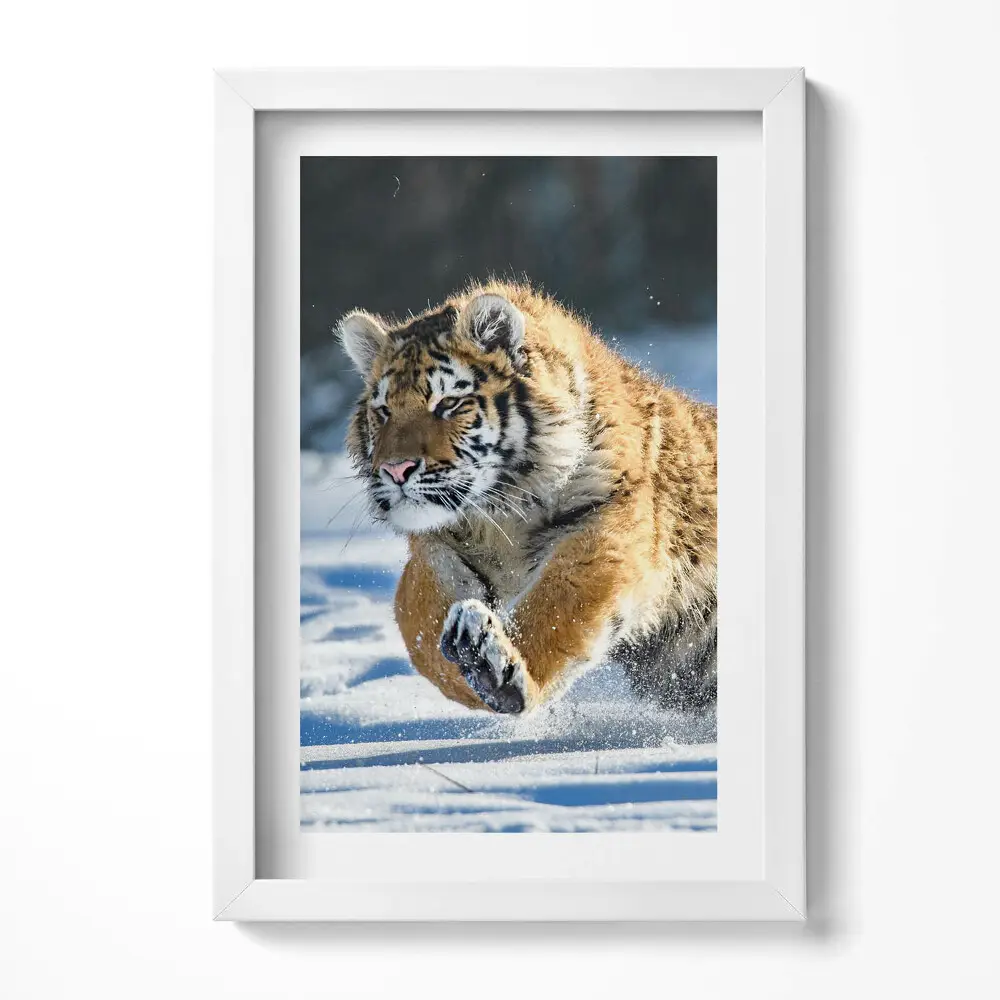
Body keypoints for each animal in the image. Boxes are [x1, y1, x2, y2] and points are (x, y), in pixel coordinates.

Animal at [336, 281, 717, 715]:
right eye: (383, 411)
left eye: (448, 403)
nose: (395, 470)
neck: (500, 510)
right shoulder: (435, 548)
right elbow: (421, 629)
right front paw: (470, 668)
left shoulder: (606, 528)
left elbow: (556, 609)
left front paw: (498, 672)